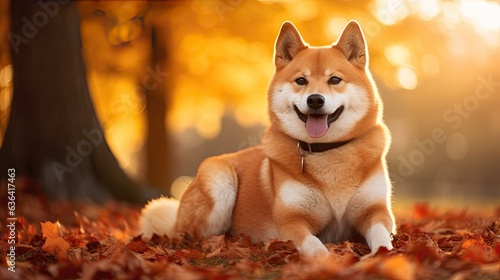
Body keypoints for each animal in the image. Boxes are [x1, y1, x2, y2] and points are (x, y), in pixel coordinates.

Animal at [140, 20, 394, 256]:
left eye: (334, 80)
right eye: (301, 81)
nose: (315, 99)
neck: (328, 152)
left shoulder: (376, 211)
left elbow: (382, 235)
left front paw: (383, 255)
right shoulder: (292, 219)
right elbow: (315, 246)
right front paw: (328, 261)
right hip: (219, 179)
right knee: (193, 236)